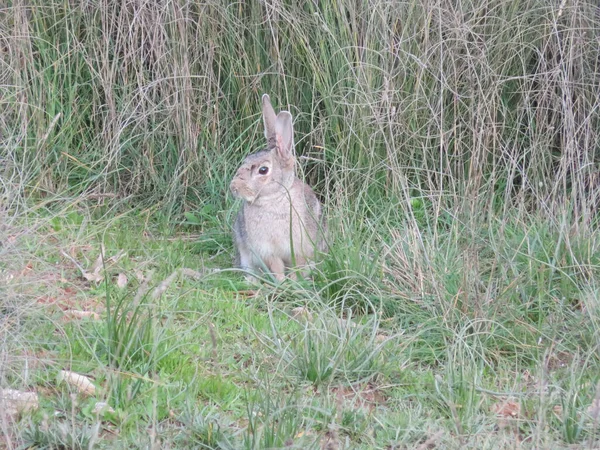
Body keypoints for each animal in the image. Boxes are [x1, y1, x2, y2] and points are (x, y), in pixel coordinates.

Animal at [230, 94, 326, 282]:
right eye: (245, 160)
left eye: (263, 170)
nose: (233, 188)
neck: (274, 198)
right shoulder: (267, 250)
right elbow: (277, 266)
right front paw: (281, 282)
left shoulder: (300, 247)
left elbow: (298, 266)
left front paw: (294, 283)